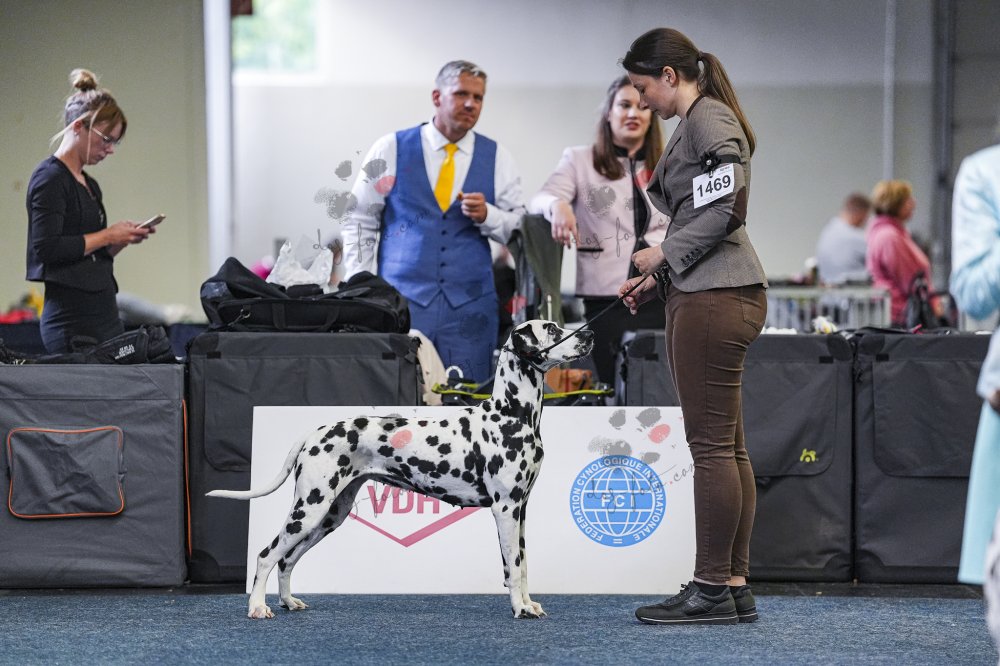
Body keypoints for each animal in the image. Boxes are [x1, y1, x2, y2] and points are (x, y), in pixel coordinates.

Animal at [208, 320, 595, 619]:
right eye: (551, 329)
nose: (589, 334)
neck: (511, 413)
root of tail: (315, 431)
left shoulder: (520, 510)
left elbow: (524, 565)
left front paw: (529, 604)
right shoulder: (505, 509)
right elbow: (513, 567)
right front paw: (520, 608)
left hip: (329, 516)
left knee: (287, 560)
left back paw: (289, 602)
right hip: (309, 510)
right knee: (266, 556)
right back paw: (258, 608)